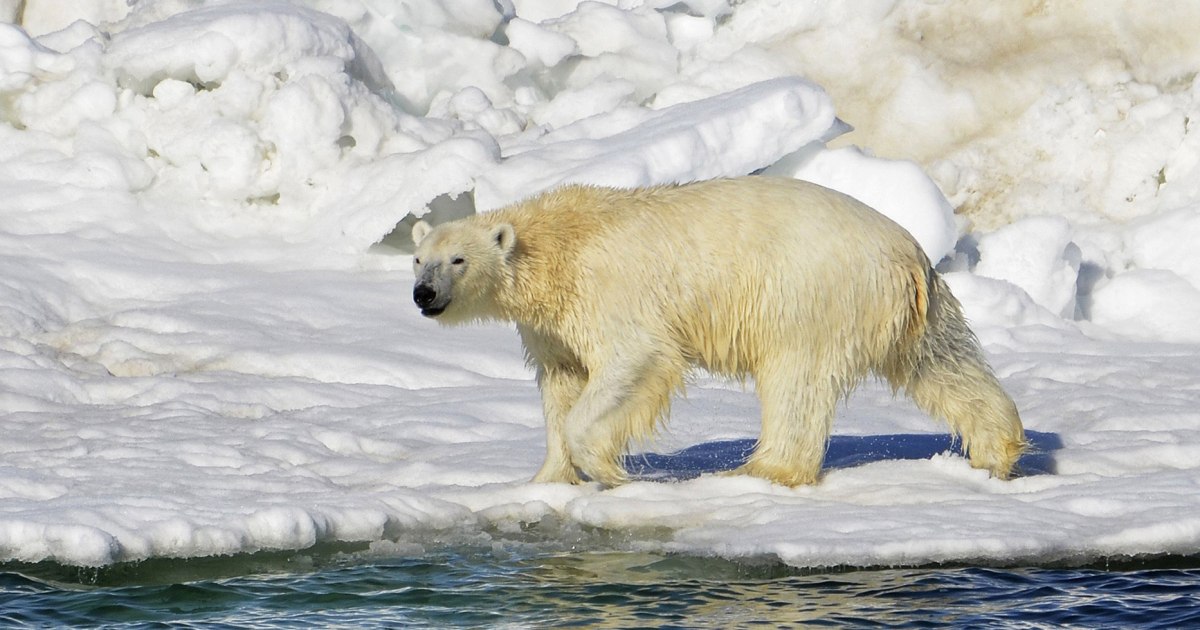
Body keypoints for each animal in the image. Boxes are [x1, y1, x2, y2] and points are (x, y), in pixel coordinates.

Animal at [410, 176, 1022, 487]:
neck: (558, 244)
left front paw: (609, 470)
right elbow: (561, 384)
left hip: (809, 294)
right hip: (914, 308)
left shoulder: (609, 291)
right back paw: (997, 451)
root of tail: (908, 255)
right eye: (418, 259)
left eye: (458, 259)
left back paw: (763, 469)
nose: (424, 294)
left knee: (795, 380)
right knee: (943, 363)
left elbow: (635, 360)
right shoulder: (552, 326)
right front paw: (547, 479)